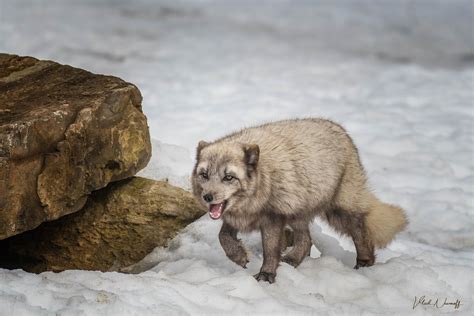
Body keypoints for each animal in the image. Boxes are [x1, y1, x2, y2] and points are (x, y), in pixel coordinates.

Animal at [191, 119, 406, 284]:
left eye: (228, 177)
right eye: (204, 175)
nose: (208, 197)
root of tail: (341, 129)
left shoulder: (273, 218)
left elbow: (270, 250)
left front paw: (266, 275)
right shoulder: (236, 218)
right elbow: (223, 237)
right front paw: (239, 256)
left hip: (339, 210)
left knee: (360, 230)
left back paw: (364, 263)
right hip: (298, 214)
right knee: (306, 240)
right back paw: (292, 260)